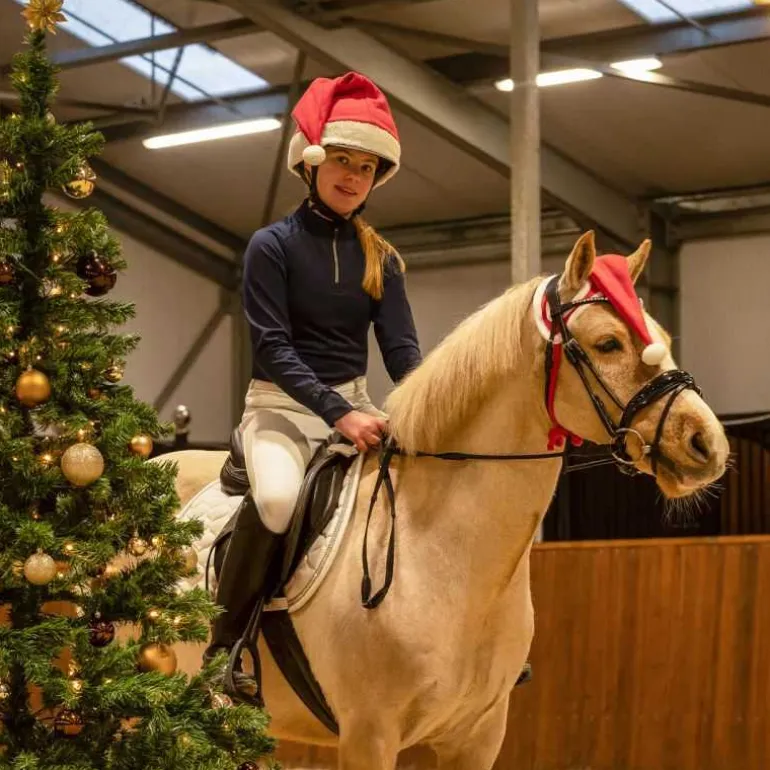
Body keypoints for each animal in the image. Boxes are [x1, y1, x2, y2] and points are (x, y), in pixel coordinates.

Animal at [163, 231, 729, 769]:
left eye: (663, 340)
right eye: (608, 343)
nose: (707, 444)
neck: (440, 547)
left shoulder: (477, 737)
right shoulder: (369, 736)